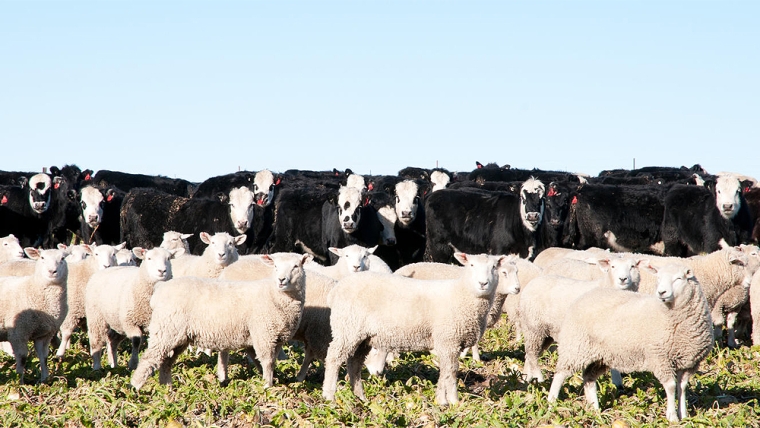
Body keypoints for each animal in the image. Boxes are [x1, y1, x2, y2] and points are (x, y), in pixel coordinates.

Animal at [0, 247, 69, 383]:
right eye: (42, 258)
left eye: (63, 258)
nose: (52, 271)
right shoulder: (18, 333)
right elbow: (22, 358)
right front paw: (19, 382)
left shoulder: (44, 334)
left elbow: (44, 357)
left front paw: (44, 380)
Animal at [130, 252, 311, 390]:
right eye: (275, 267)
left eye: (296, 266)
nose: (281, 280)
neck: (274, 295)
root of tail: (160, 291)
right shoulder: (264, 334)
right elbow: (267, 361)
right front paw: (268, 386)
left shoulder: (276, 337)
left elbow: (265, 362)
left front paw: (271, 380)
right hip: (166, 329)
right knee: (150, 357)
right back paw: (136, 386)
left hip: (177, 335)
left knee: (166, 361)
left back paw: (167, 388)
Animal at [322, 252, 508, 405]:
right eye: (471, 265)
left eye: (494, 267)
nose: (483, 283)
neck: (463, 294)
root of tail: (336, 289)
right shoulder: (448, 339)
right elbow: (451, 371)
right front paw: (452, 401)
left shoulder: (449, 341)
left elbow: (445, 371)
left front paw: (442, 400)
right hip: (347, 328)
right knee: (334, 358)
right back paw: (329, 396)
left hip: (363, 336)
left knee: (354, 363)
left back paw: (359, 396)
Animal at [547, 263, 714, 422]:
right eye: (658, 278)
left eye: (679, 278)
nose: (661, 293)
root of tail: (586, 295)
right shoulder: (661, 359)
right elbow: (672, 387)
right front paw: (672, 417)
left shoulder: (689, 363)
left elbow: (682, 387)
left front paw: (684, 415)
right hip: (575, 346)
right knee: (560, 374)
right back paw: (551, 403)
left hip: (600, 355)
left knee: (588, 377)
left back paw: (595, 409)